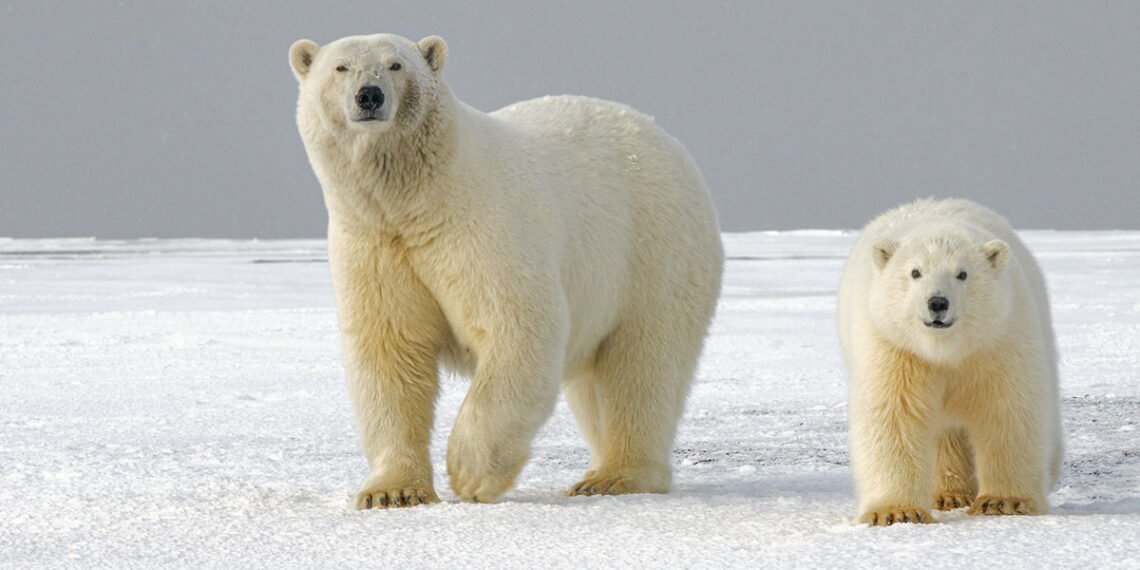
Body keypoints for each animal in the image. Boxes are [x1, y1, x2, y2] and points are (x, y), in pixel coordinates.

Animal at [288, 33, 724, 508]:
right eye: (341, 68)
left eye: (396, 65)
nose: (369, 95)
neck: (418, 201)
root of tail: (666, 139)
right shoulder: (374, 245)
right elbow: (390, 351)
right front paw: (392, 491)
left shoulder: (481, 227)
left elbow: (518, 326)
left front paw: (469, 473)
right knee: (596, 383)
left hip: (653, 251)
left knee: (642, 364)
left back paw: (615, 476)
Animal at [837, 198, 1062, 526]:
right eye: (915, 272)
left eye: (962, 274)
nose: (937, 303)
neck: (946, 350)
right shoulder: (894, 347)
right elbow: (894, 416)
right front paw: (896, 512)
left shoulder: (997, 340)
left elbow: (1008, 409)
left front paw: (1002, 502)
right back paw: (949, 494)